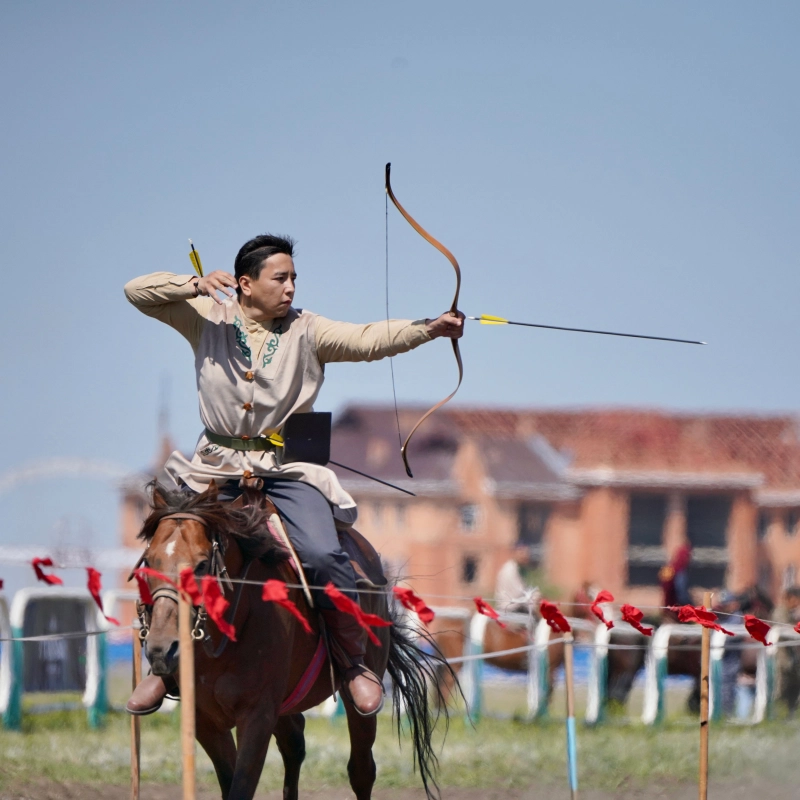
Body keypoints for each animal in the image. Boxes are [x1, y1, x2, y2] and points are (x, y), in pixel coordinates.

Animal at [138, 482, 450, 800]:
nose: (162, 650)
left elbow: (241, 786)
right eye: (149, 561)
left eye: (202, 565)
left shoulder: (258, 716)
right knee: (294, 742)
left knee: (361, 770)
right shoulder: (204, 718)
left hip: (357, 704)